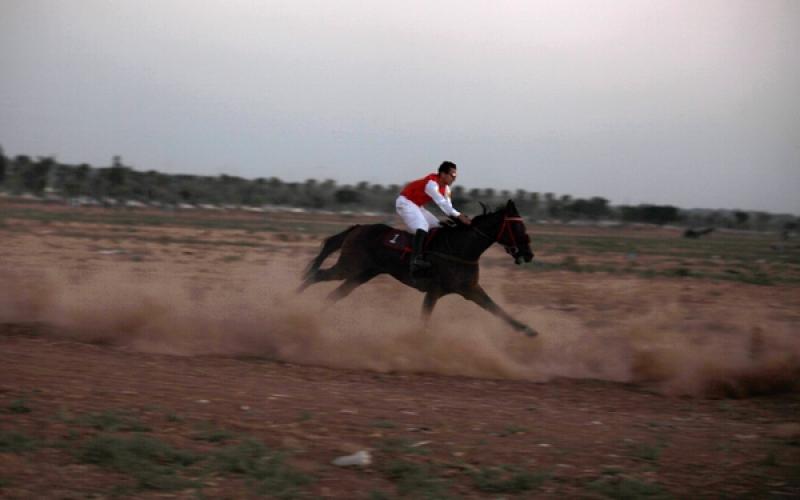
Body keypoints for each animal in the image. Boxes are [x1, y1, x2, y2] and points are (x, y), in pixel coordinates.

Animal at [296, 199, 536, 336]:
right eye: (517, 227)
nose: (528, 254)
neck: (460, 249)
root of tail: (358, 227)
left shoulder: (470, 289)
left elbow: (497, 310)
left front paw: (528, 330)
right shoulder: (434, 291)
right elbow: (424, 320)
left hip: (362, 274)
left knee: (335, 294)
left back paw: (313, 316)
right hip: (349, 267)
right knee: (318, 275)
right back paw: (293, 300)